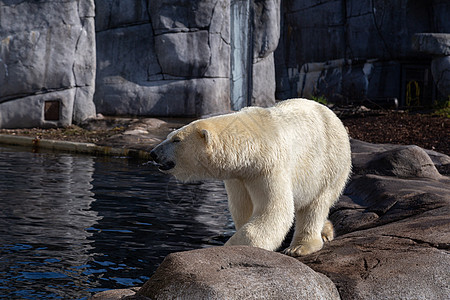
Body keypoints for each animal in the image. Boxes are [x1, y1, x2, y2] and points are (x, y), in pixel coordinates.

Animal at [151, 98, 352, 255]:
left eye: (176, 140)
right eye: (169, 135)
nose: (153, 153)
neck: (253, 145)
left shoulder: (270, 166)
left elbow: (274, 211)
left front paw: (229, 248)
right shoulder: (239, 176)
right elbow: (242, 208)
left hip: (329, 164)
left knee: (316, 204)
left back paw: (300, 247)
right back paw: (326, 231)